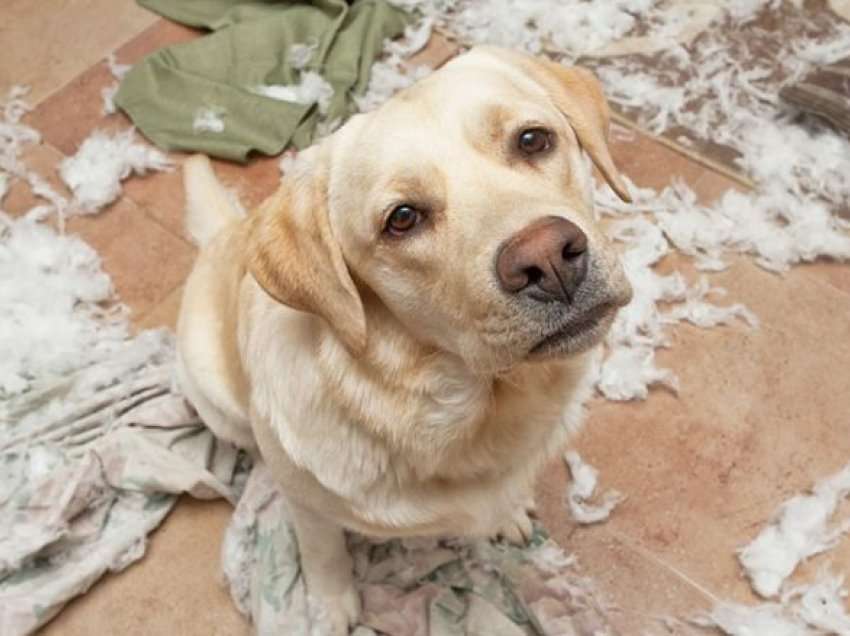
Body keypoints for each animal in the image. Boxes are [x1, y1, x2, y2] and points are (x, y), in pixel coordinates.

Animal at [177, 47, 628, 632]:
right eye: (403, 218)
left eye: (532, 140)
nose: (548, 259)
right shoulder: (308, 506)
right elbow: (322, 551)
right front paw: (329, 605)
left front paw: (507, 510)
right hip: (215, 391)